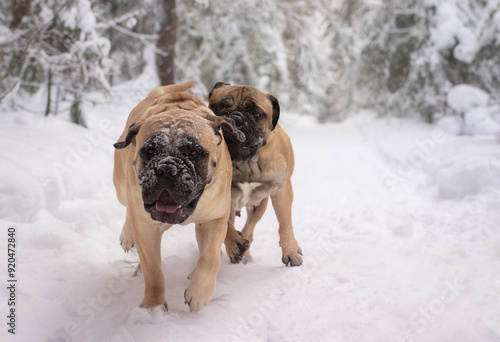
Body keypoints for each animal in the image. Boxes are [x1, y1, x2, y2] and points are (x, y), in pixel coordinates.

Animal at [114, 81, 246, 312]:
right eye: (150, 151)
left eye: (194, 153)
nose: (167, 169)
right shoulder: (147, 227)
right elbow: (154, 270)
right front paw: (153, 307)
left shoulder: (213, 220)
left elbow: (210, 258)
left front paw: (199, 292)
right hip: (122, 188)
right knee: (129, 210)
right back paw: (128, 236)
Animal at [208, 83, 302, 268]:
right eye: (220, 107)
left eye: (256, 114)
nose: (234, 118)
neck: (247, 163)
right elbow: (226, 225)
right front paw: (234, 246)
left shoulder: (282, 189)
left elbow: (285, 222)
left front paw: (291, 251)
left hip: (259, 204)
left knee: (249, 229)